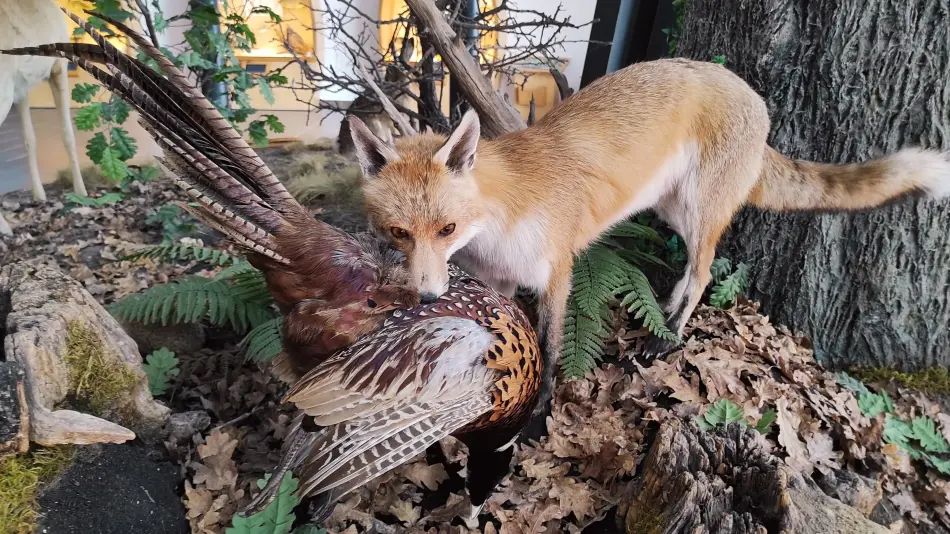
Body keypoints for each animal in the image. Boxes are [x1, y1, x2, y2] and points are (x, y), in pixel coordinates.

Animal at [350, 56, 950, 414]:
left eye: (447, 228)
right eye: (399, 233)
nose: (427, 296)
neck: (499, 221)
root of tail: (751, 94)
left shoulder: (557, 274)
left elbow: (550, 346)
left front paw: (539, 412)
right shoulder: (499, 283)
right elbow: (509, 343)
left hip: (702, 212)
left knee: (704, 273)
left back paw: (670, 337)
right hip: (674, 210)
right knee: (690, 271)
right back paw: (664, 310)